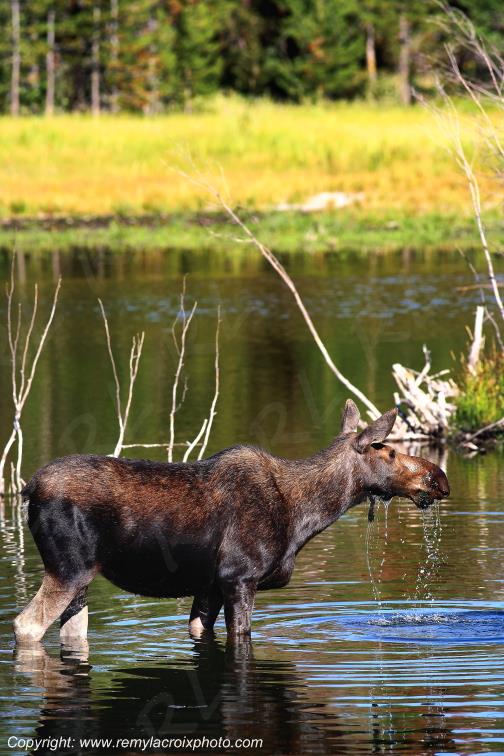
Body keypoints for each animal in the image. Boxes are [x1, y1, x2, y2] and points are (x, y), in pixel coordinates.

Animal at [14, 399, 449, 644]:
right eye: (387, 451)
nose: (439, 479)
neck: (305, 517)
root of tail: (28, 489)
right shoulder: (240, 577)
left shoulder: (209, 584)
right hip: (68, 569)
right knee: (25, 625)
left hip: (82, 580)